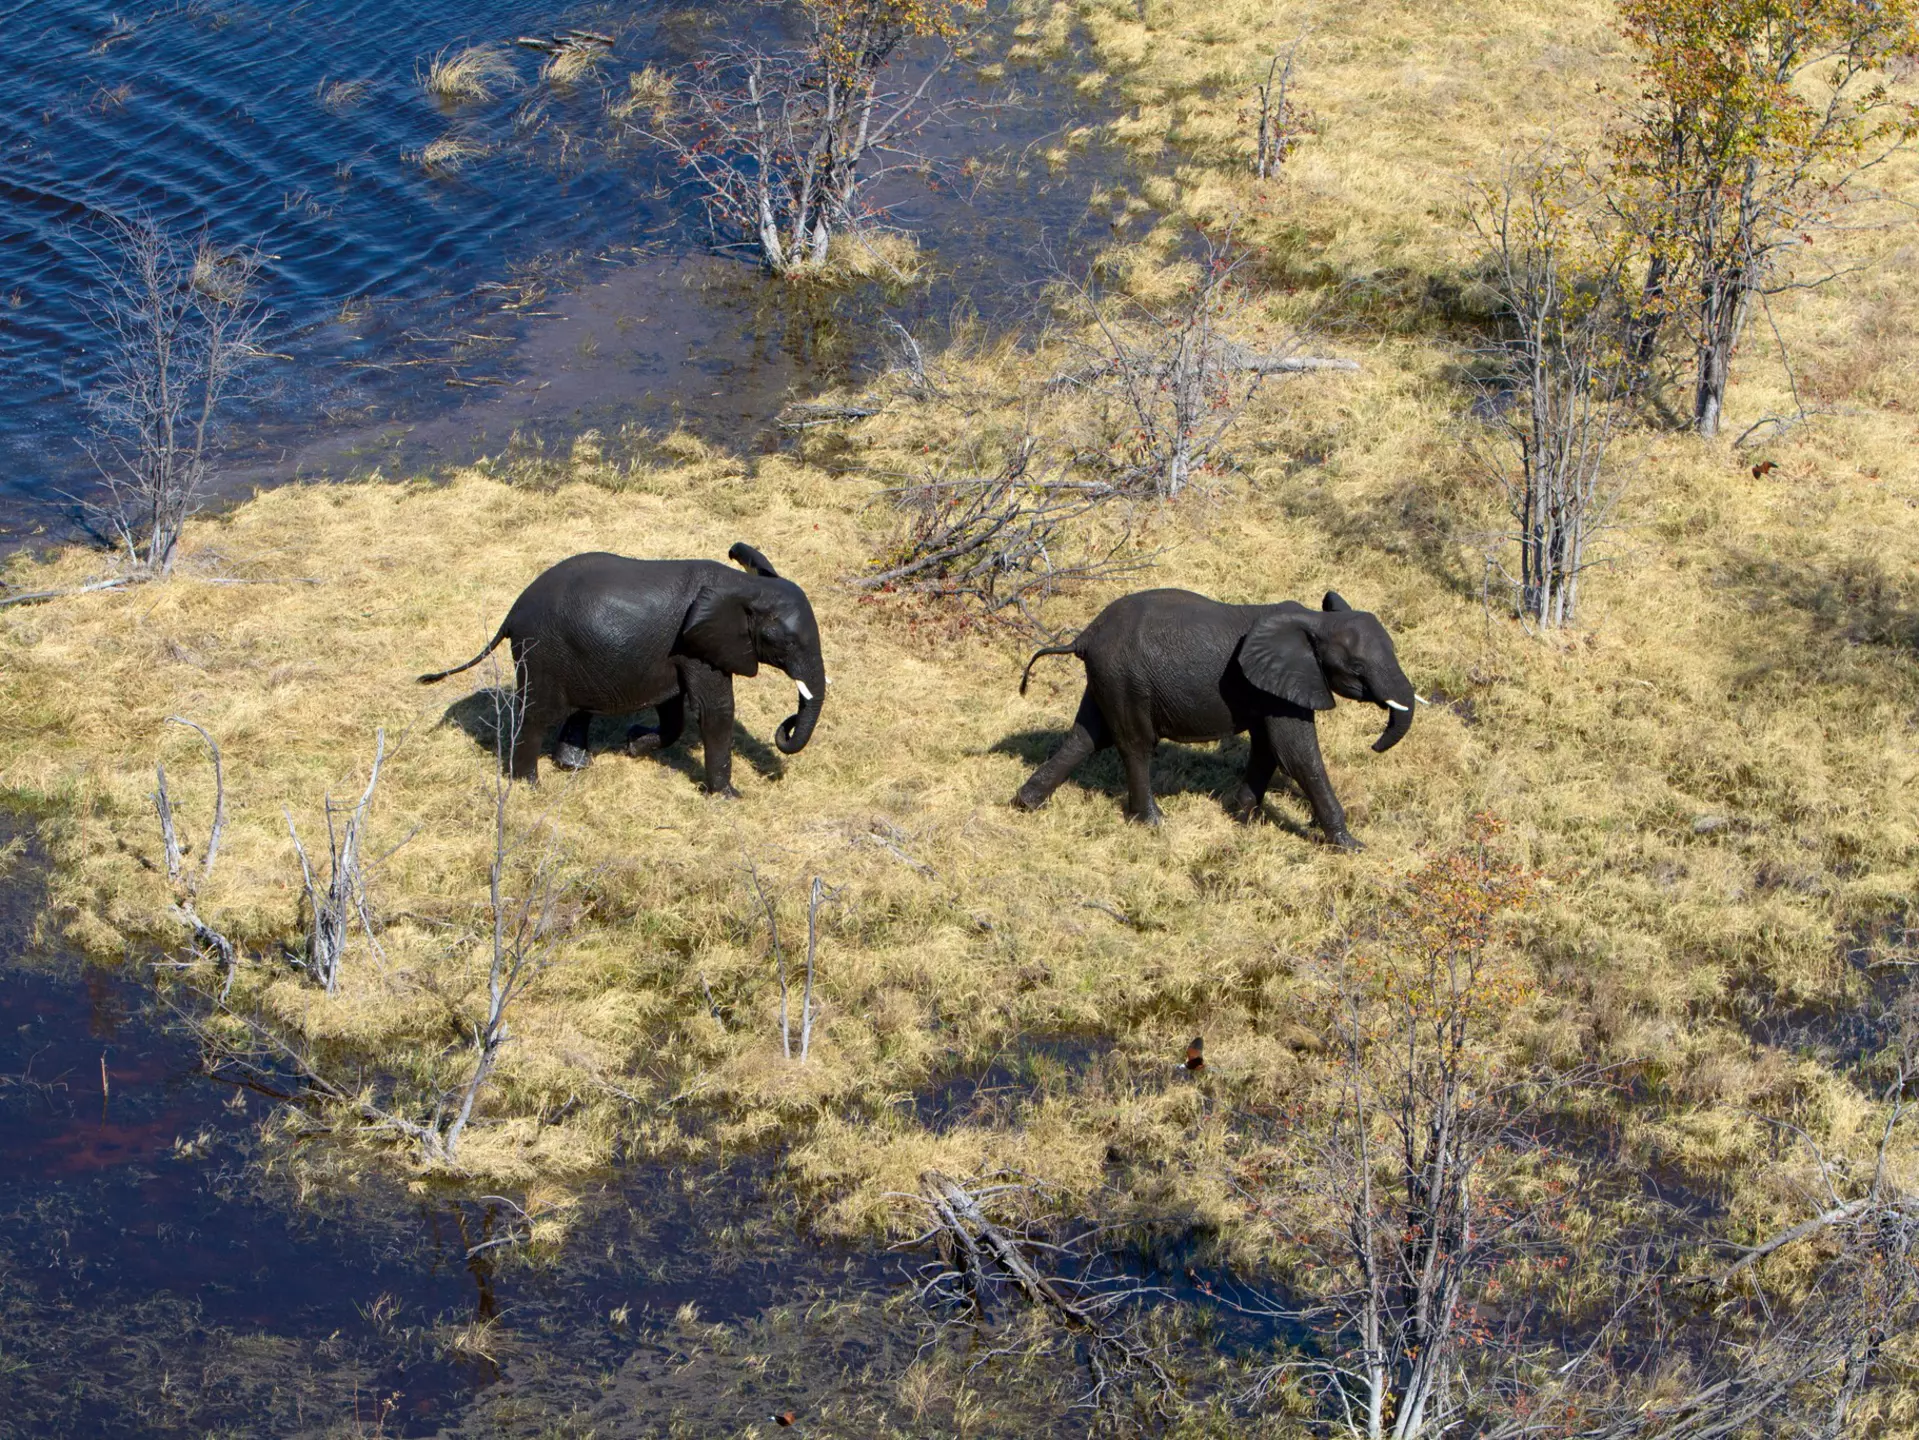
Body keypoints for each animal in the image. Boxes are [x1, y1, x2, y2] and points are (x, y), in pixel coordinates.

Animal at [418, 542, 826, 791]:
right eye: (786, 643)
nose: (785, 726)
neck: (744, 586)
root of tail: (512, 613)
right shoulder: (698, 646)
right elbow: (714, 710)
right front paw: (728, 796)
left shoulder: (674, 652)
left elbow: (673, 711)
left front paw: (633, 744)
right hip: (542, 652)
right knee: (536, 715)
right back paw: (528, 786)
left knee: (576, 709)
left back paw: (575, 766)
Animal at [1011, 588, 1417, 846]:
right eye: (1358, 668)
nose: (1374, 745)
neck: (1315, 622)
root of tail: (1085, 635)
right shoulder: (1286, 682)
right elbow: (1297, 754)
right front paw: (1350, 846)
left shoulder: (1270, 687)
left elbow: (1268, 748)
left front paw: (1241, 818)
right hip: (1126, 678)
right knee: (1135, 745)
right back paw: (1153, 823)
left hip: (1109, 677)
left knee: (1086, 736)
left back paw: (1026, 804)